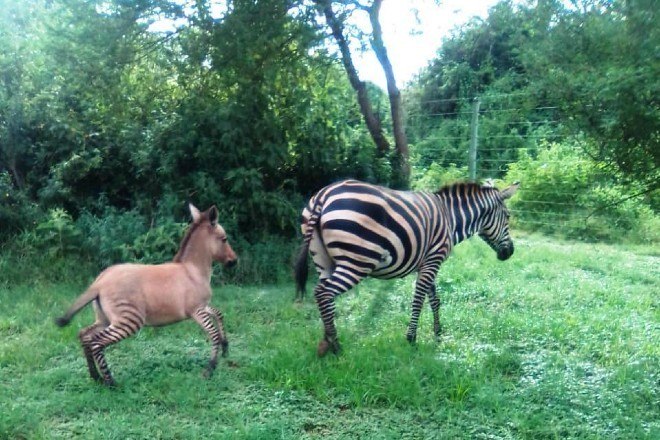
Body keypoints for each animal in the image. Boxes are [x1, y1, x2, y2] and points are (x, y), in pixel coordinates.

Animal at [296, 179, 520, 358]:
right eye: (508, 216)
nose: (510, 253)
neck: (451, 218)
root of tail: (324, 195)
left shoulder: (427, 262)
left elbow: (434, 300)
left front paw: (438, 334)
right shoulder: (433, 260)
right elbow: (419, 300)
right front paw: (412, 339)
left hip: (323, 261)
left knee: (324, 297)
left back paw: (326, 342)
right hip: (357, 261)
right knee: (324, 293)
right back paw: (336, 346)